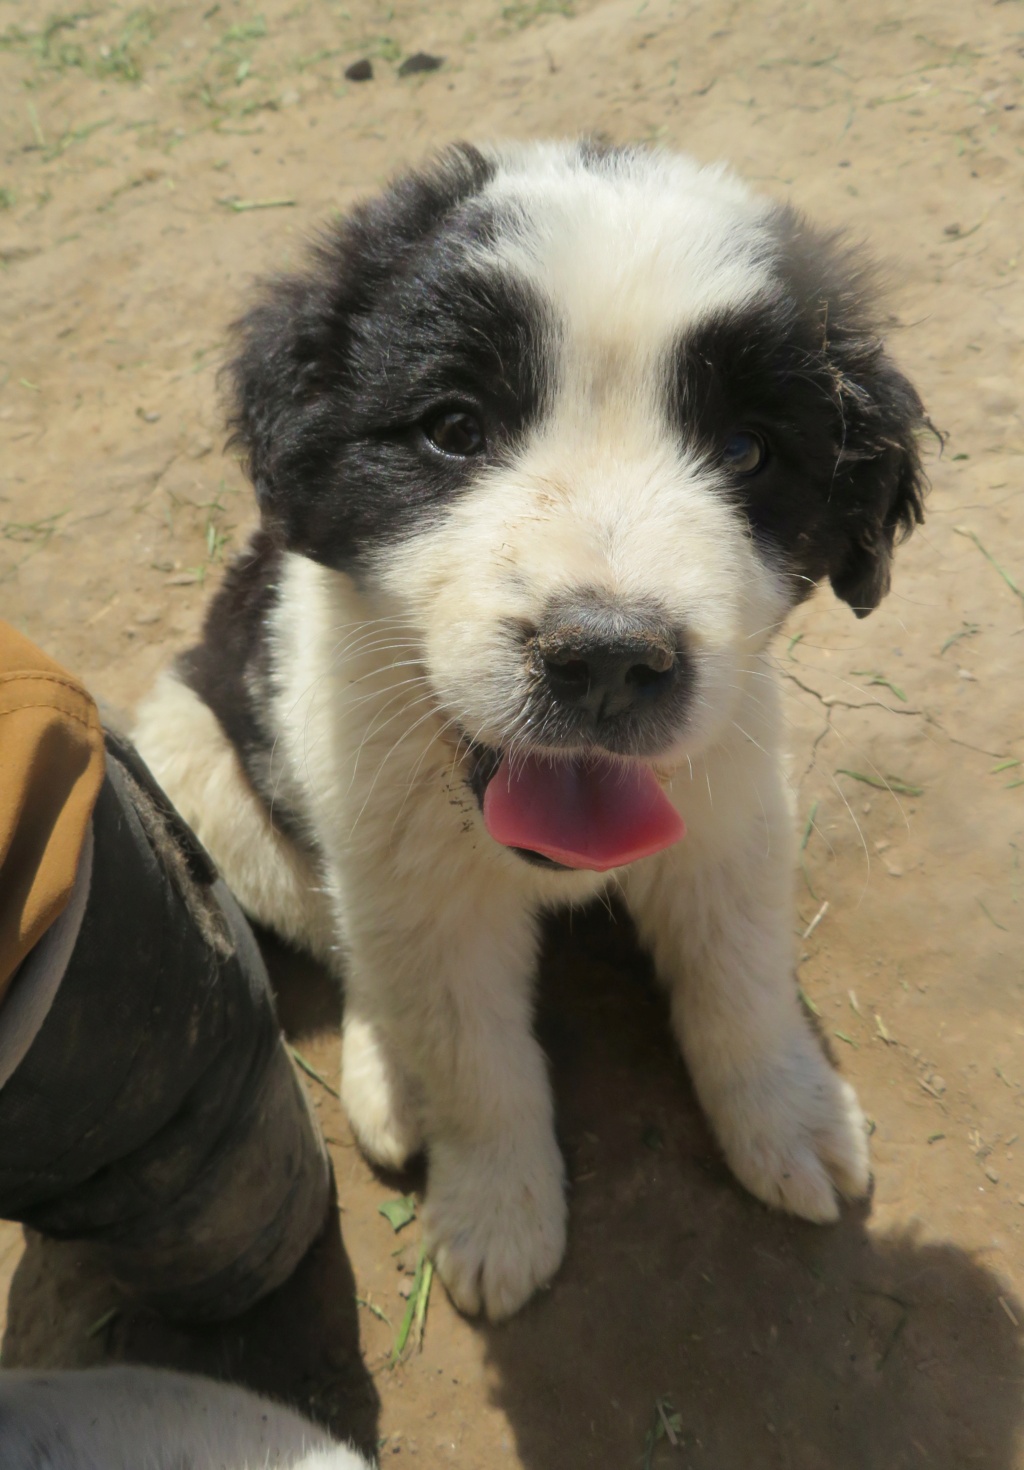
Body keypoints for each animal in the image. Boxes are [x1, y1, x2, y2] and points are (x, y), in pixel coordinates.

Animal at [133, 140, 928, 1323]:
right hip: (200, 758)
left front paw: (789, 1119)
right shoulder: (415, 874)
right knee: (347, 942)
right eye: (453, 429)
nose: (606, 658)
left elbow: (737, 979)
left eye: (748, 450)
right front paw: (497, 1214)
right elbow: (471, 1055)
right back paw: (387, 1086)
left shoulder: (731, 811)